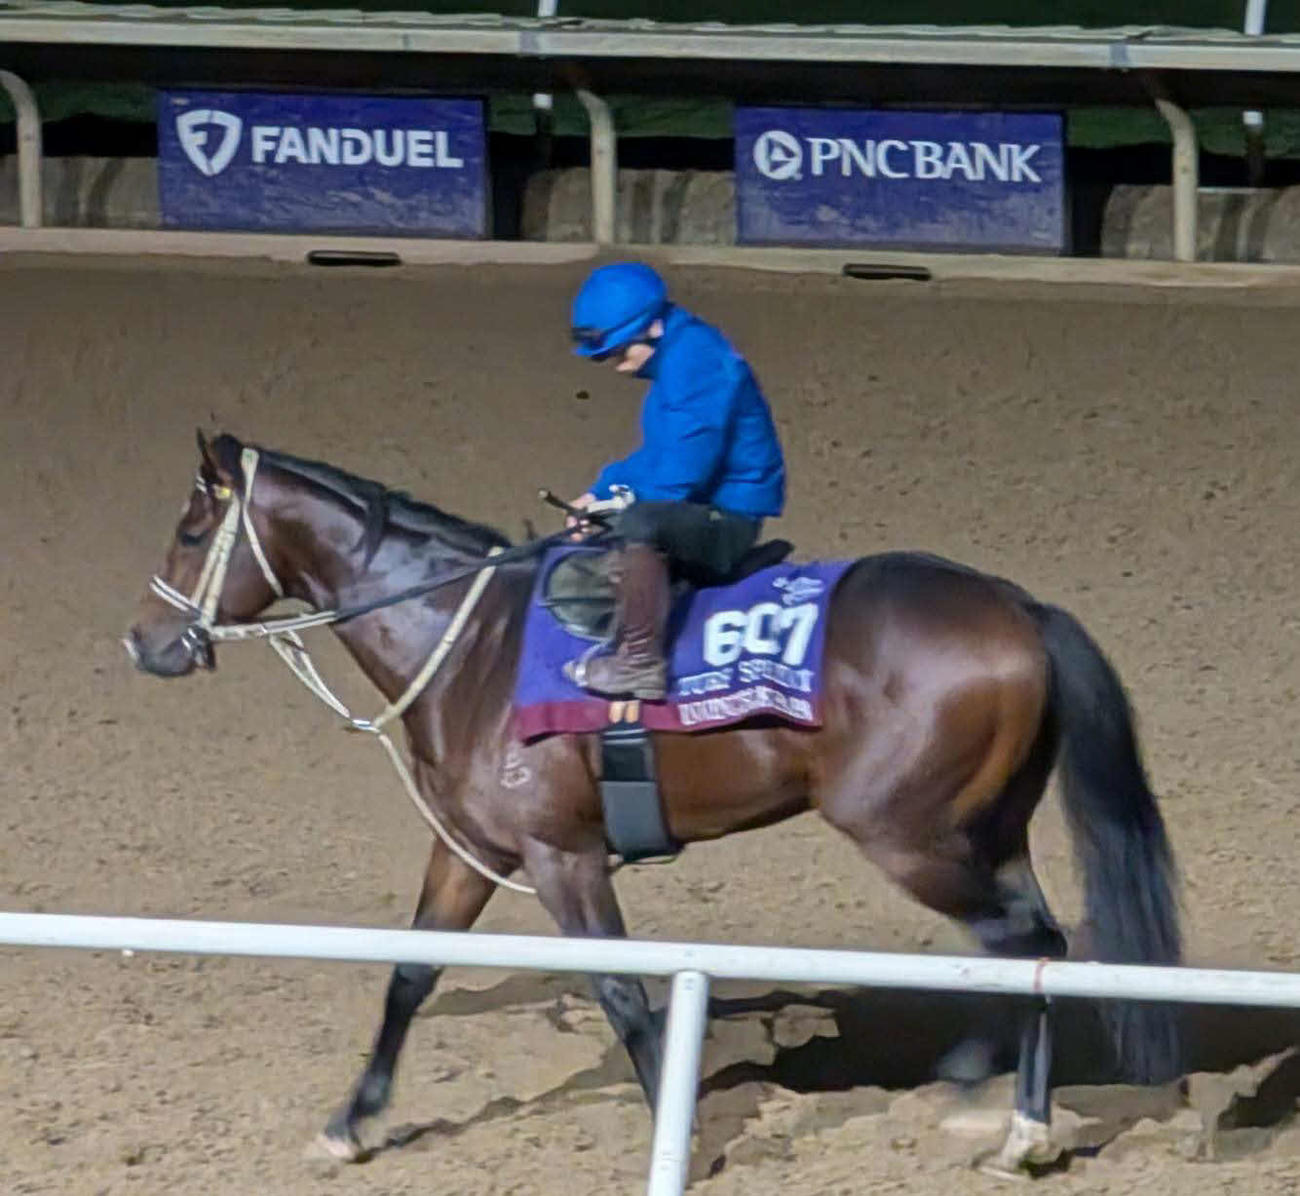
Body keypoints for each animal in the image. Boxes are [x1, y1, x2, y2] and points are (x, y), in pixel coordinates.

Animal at [125, 431, 1181, 1175]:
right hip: (983, 833)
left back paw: (983, 1093)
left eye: (191, 530)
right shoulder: (475, 849)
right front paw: (352, 1122)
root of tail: (1017, 609)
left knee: (1032, 945)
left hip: (911, 837)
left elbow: (624, 995)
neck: (475, 644)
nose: (145, 643)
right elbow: (411, 975)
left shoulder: (564, 857)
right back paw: (1021, 1128)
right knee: (1037, 948)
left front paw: (690, 1138)